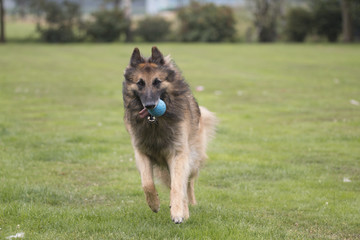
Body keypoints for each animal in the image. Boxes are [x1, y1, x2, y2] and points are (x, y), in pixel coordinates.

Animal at [121, 46, 217, 223]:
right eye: (140, 83)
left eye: (157, 82)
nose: (150, 105)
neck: (156, 124)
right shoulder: (141, 152)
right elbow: (147, 183)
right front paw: (154, 204)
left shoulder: (178, 153)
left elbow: (178, 186)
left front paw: (178, 213)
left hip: (192, 160)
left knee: (188, 184)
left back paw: (187, 208)